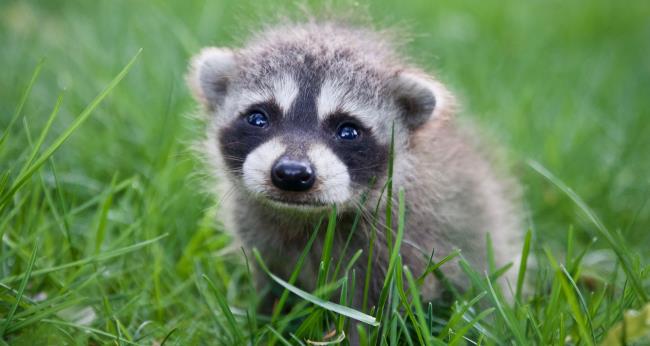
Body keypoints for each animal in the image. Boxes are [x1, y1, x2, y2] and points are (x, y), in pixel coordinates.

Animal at [185, 22, 520, 310]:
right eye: (258, 118)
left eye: (348, 131)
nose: (292, 173)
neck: (304, 217)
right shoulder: (258, 234)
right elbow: (272, 284)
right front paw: (268, 317)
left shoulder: (407, 239)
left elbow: (375, 308)